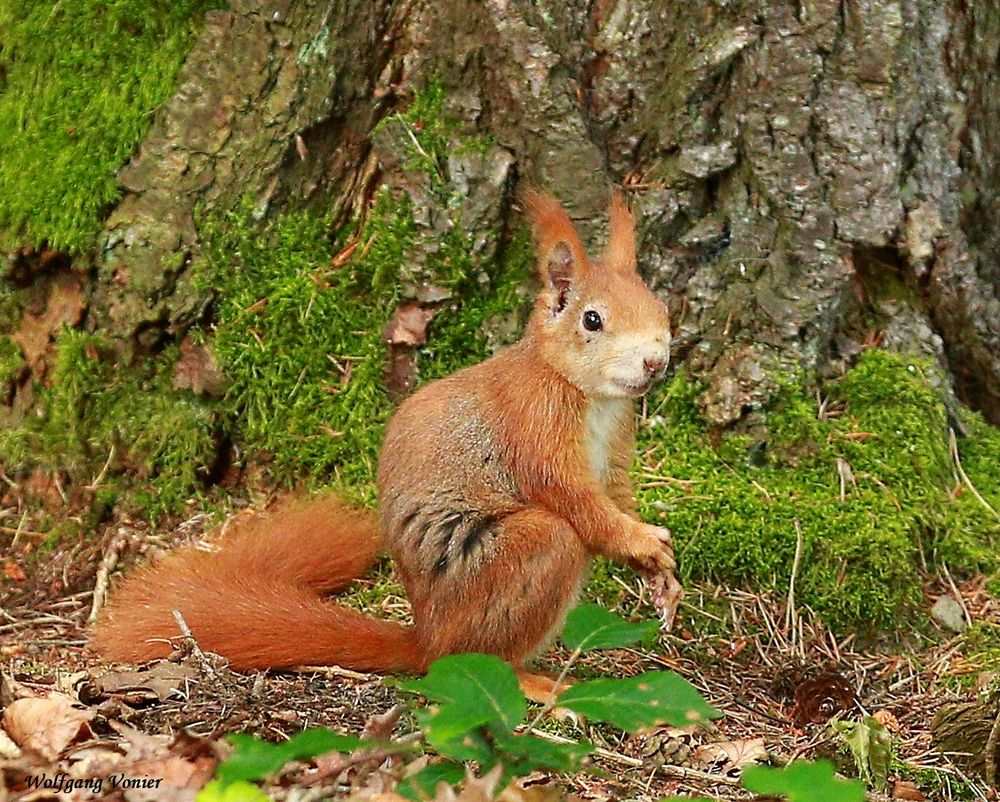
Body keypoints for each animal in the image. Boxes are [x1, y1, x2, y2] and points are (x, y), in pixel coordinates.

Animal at [92, 188, 680, 688]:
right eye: (592, 320)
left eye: (662, 310)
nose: (655, 361)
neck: (585, 393)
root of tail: (424, 638)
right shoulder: (533, 427)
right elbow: (574, 499)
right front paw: (641, 542)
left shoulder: (617, 443)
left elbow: (616, 494)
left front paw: (659, 573)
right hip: (512, 566)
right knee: (504, 619)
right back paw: (532, 682)